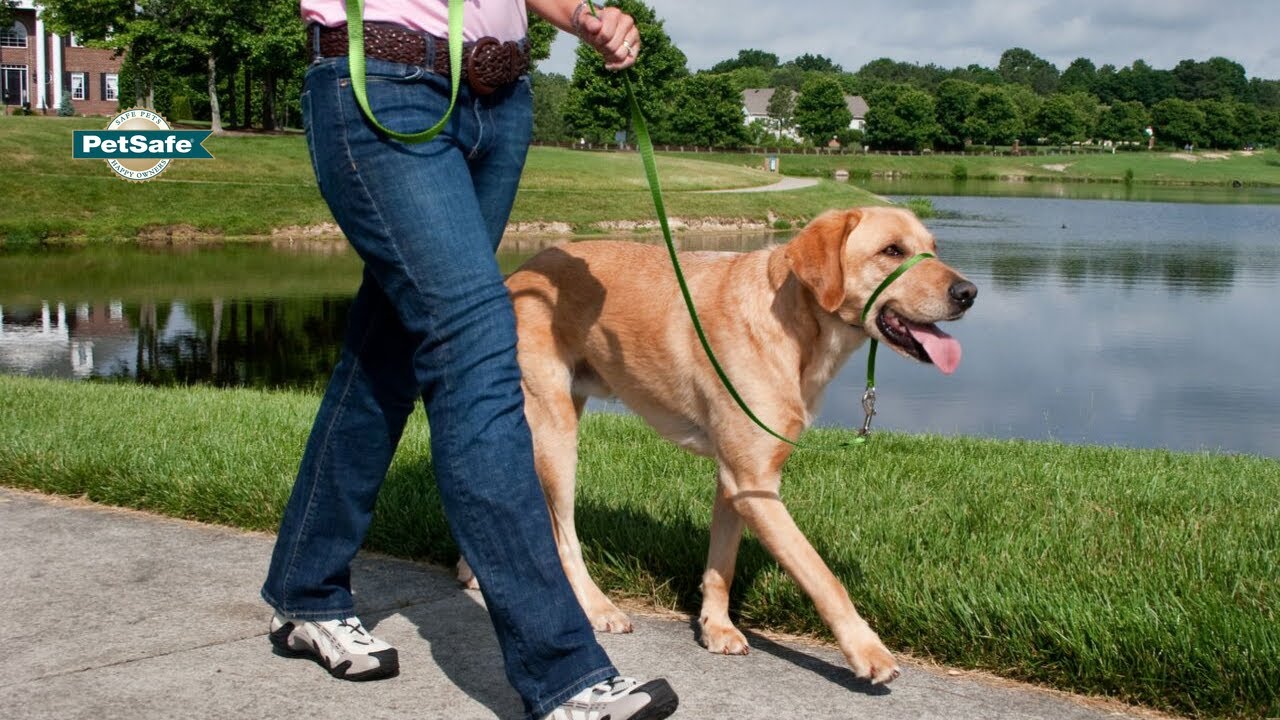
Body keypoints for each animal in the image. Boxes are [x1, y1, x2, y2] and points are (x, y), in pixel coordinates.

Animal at [465, 204, 972, 681]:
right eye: (892, 250)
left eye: (933, 247)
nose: (968, 293)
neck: (794, 327)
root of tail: (521, 271)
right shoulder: (755, 483)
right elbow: (822, 575)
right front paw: (867, 651)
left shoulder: (737, 478)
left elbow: (722, 563)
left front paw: (716, 626)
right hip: (556, 433)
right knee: (563, 536)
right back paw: (597, 607)